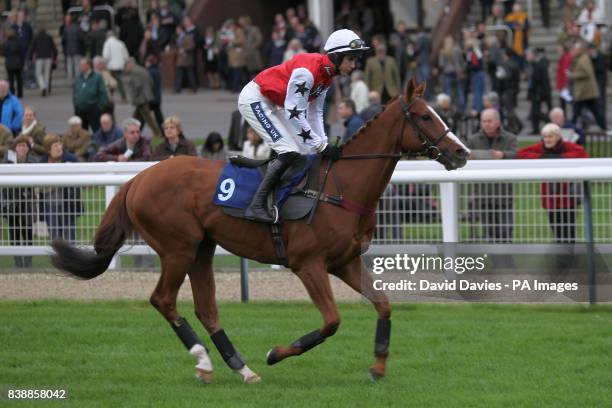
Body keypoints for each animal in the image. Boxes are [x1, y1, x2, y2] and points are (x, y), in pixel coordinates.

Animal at [51, 79, 468, 382]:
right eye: (424, 116)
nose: (462, 152)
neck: (340, 188)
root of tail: (138, 179)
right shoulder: (308, 264)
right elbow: (331, 321)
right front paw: (276, 353)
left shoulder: (345, 262)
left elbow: (383, 304)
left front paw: (378, 367)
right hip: (177, 248)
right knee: (164, 300)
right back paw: (204, 359)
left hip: (201, 248)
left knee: (206, 308)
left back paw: (240, 368)